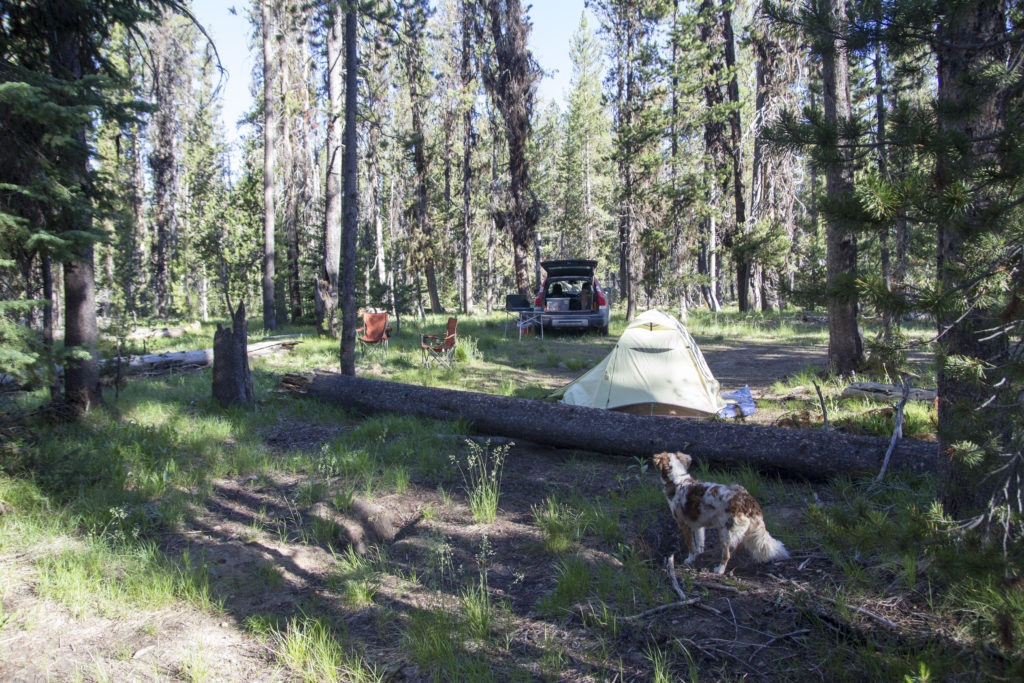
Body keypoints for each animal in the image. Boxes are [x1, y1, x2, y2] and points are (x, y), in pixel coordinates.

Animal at [651, 450, 786, 573]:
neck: (678, 481)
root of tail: (747, 500)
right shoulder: (698, 525)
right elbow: (699, 545)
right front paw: (698, 555)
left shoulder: (683, 525)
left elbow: (691, 546)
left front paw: (690, 559)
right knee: (739, 545)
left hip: (724, 532)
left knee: (726, 555)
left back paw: (719, 569)